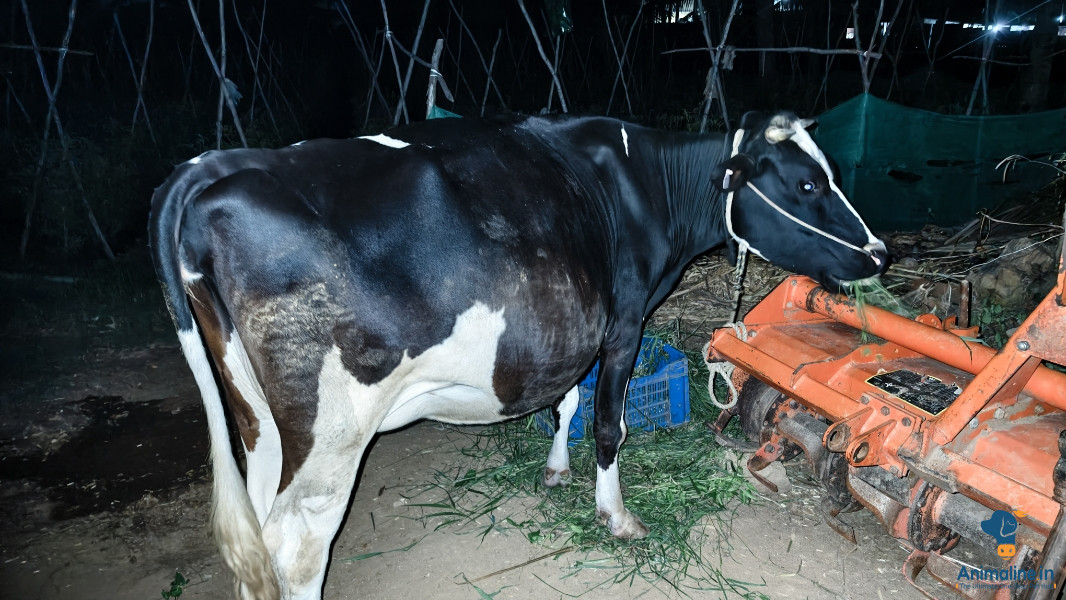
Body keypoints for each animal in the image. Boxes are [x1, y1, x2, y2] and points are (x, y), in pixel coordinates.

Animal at [149, 111, 889, 600]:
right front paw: (616, 515)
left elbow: (566, 397)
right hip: (333, 428)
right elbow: (609, 424)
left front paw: (556, 470)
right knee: (297, 546)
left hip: (259, 417)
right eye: (805, 185)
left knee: (258, 529)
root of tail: (206, 171)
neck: (644, 185)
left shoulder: (578, 326)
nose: (879, 253)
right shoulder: (624, 321)